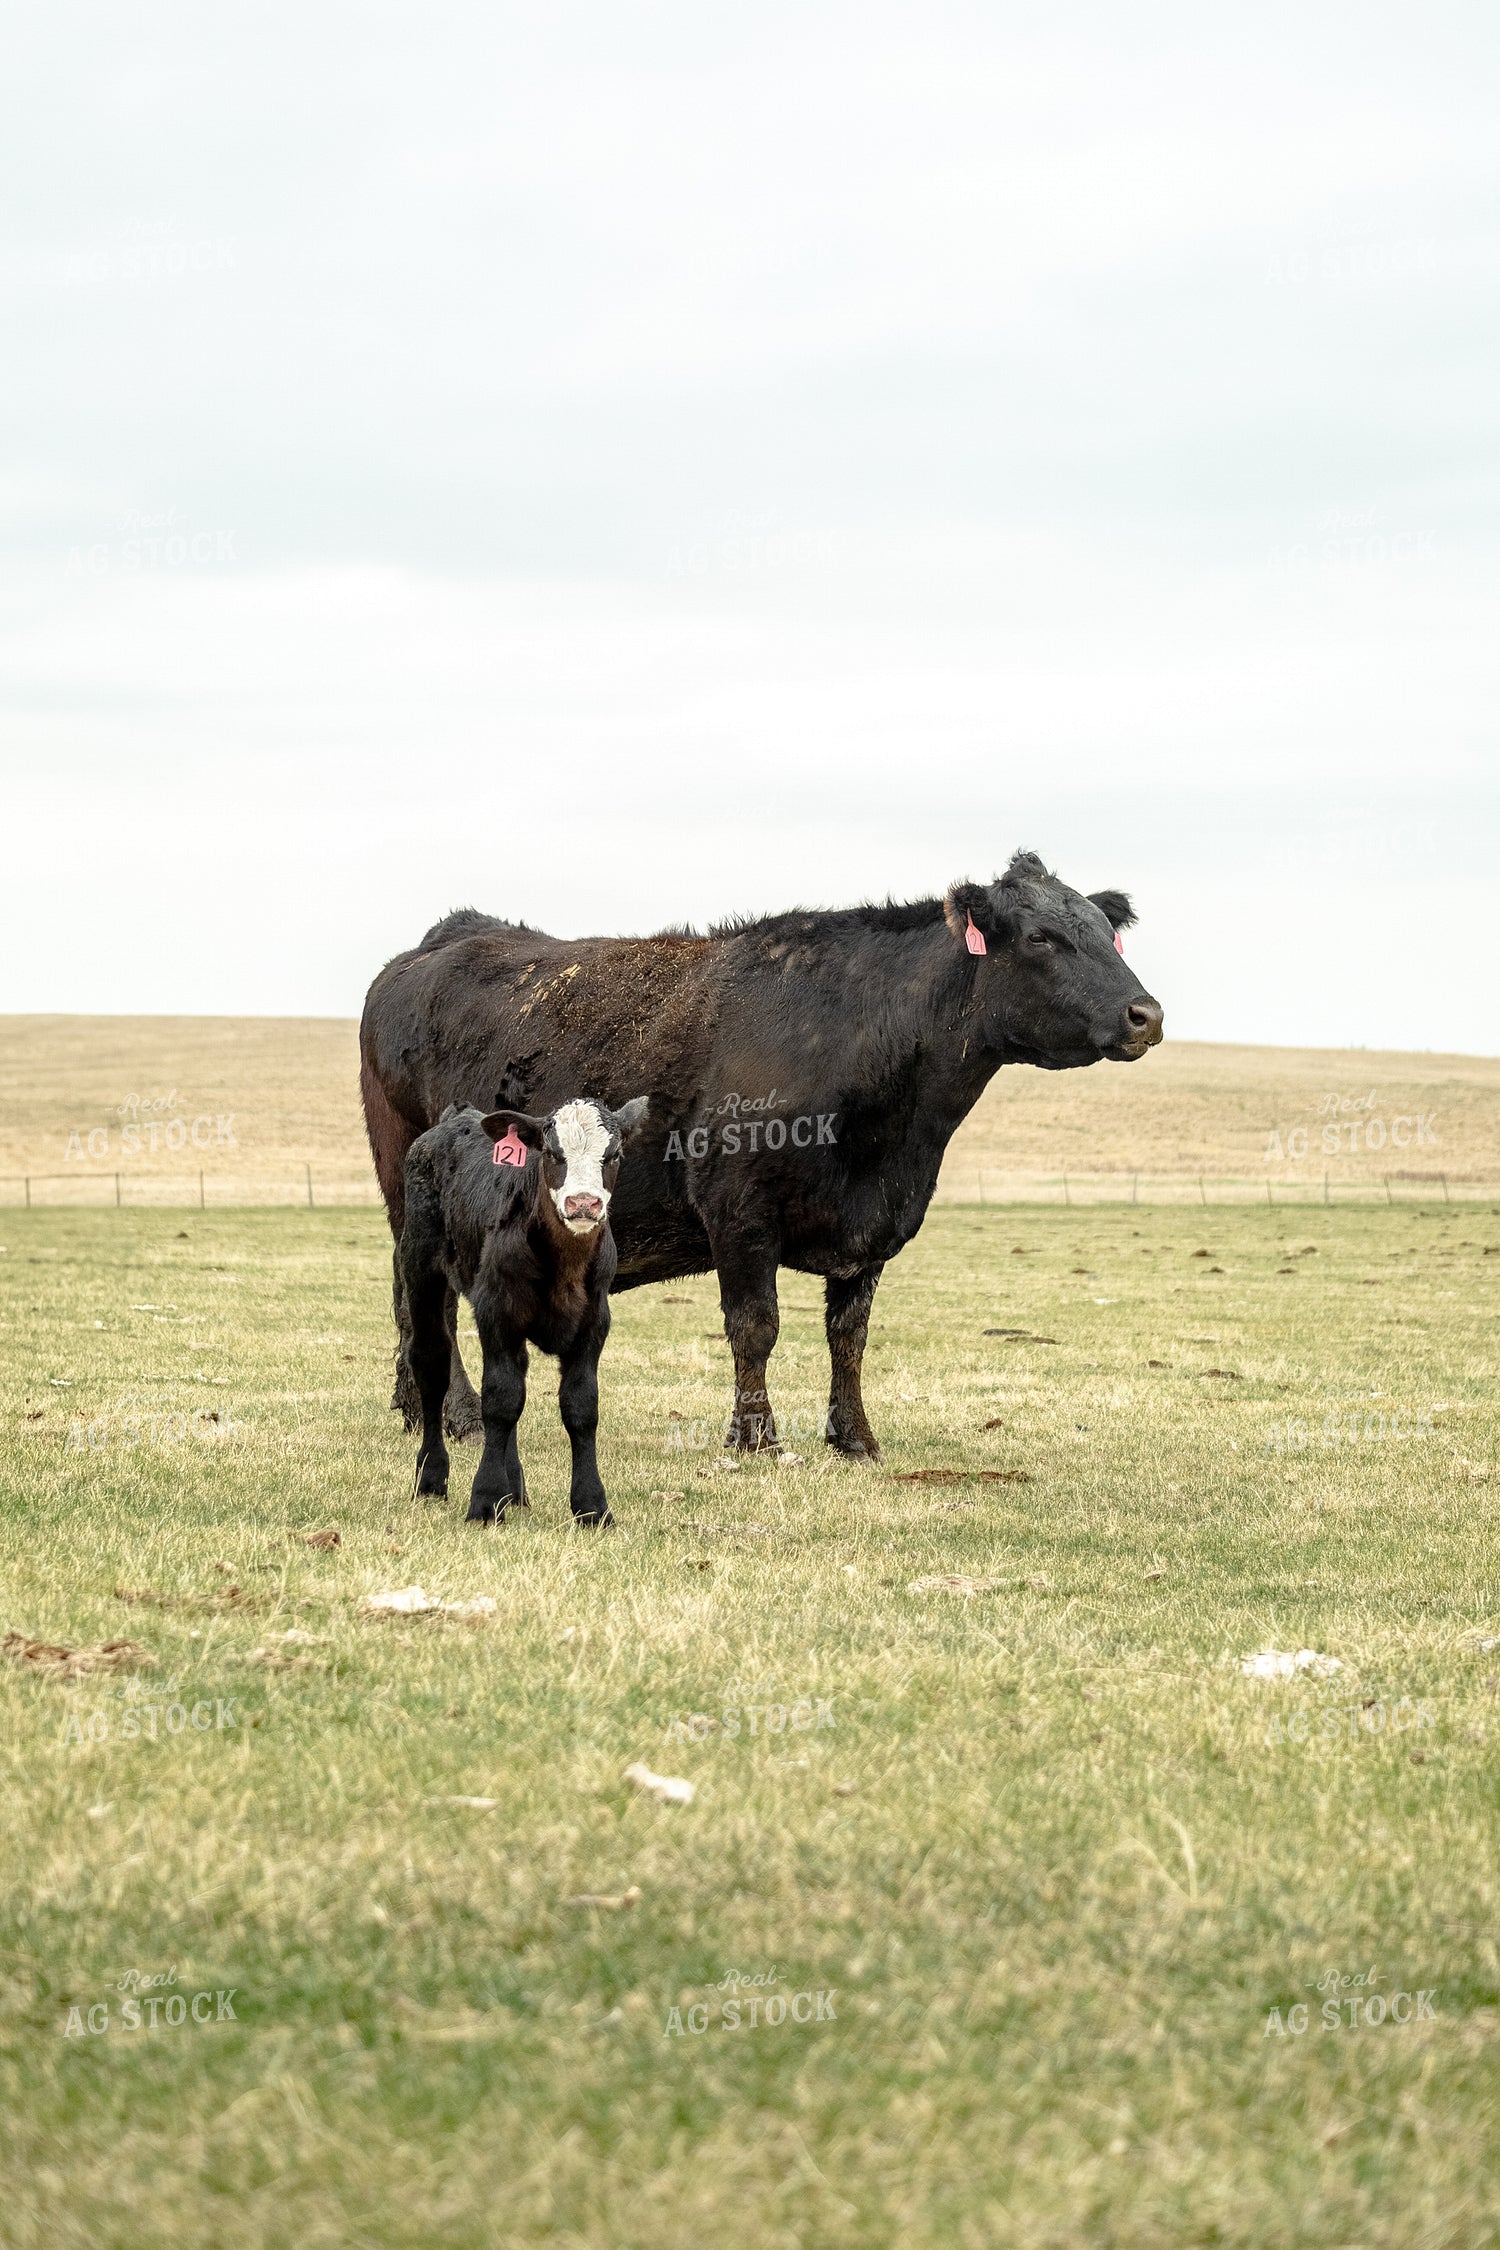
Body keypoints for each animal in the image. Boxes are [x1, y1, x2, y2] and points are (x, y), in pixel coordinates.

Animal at [361, 850, 1164, 1464]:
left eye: (1107, 934)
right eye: (1040, 938)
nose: (1146, 1014)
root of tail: (451, 935)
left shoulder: (868, 1230)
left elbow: (849, 1337)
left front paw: (855, 1438)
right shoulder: (739, 1214)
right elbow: (757, 1325)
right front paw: (757, 1438)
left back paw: (415, 1405)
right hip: (410, 1188)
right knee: (426, 1300)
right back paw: (458, 1414)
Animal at [401, 1095, 648, 1526]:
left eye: (613, 1154)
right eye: (551, 1152)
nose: (584, 1203)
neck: (564, 1269)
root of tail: (455, 1117)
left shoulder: (594, 1323)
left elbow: (580, 1406)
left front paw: (592, 1506)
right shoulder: (497, 1311)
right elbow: (499, 1401)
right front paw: (484, 1501)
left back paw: (514, 1489)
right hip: (422, 1270)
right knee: (432, 1364)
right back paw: (431, 1477)